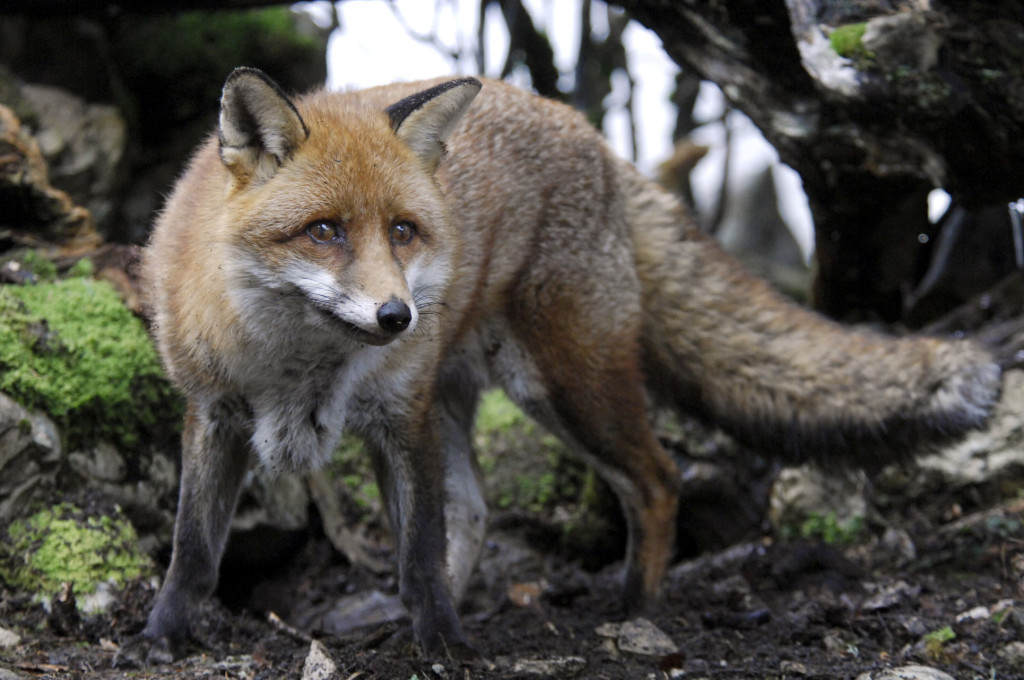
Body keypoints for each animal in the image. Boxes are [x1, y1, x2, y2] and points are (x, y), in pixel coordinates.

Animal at [121, 67, 1001, 664]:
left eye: (402, 230)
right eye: (324, 231)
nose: (397, 317)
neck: (296, 365)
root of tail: (594, 137)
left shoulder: (399, 414)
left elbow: (418, 550)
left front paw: (443, 647)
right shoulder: (217, 412)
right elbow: (194, 549)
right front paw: (163, 635)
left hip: (564, 385)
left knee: (657, 479)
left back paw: (633, 609)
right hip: (466, 399)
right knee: (477, 512)